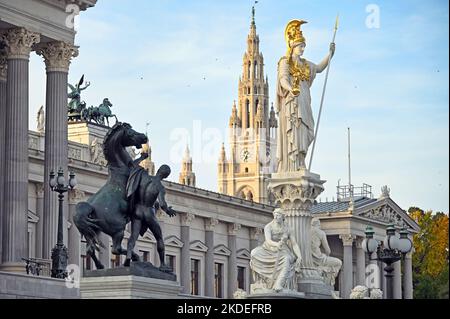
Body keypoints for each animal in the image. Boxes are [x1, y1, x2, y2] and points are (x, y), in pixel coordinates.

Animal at [74, 123, 147, 270]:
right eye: (130, 132)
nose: (144, 137)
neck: (119, 167)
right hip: (118, 230)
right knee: (115, 250)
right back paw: (134, 258)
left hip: (92, 231)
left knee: (90, 249)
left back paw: (100, 266)